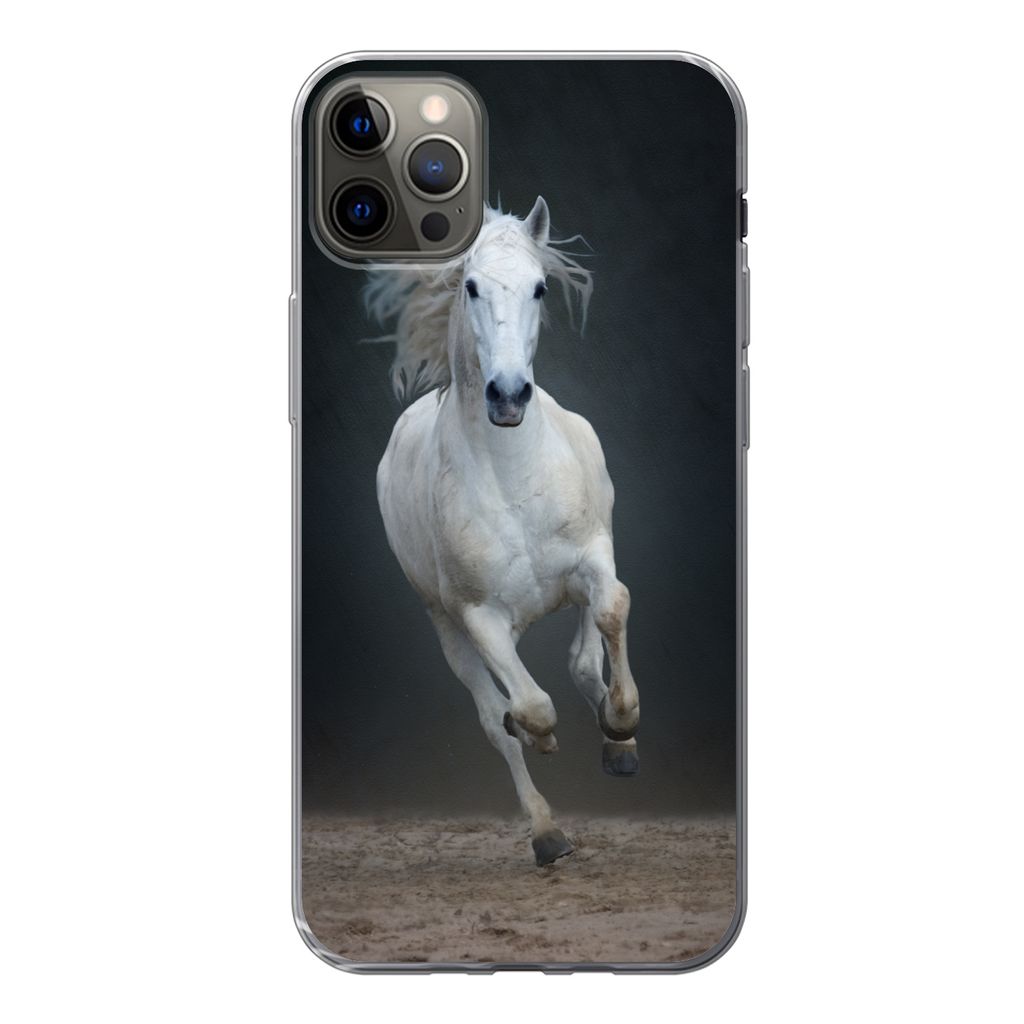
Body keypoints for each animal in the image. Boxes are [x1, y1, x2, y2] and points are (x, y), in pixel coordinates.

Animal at [369, 198, 640, 866]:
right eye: (470, 286)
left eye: (539, 287)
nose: (509, 394)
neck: (513, 478)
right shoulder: (478, 617)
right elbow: (529, 708)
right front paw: (542, 739)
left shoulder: (593, 558)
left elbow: (612, 611)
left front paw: (622, 726)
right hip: (447, 625)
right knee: (498, 716)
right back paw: (547, 835)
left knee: (583, 659)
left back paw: (616, 744)